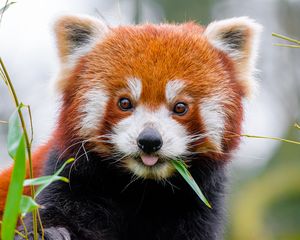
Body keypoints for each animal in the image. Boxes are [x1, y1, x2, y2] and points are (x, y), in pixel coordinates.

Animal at [0, 15, 260, 240]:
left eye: (180, 107)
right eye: (124, 103)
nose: (149, 140)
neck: (141, 190)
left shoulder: (198, 204)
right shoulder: (66, 178)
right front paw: (51, 233)